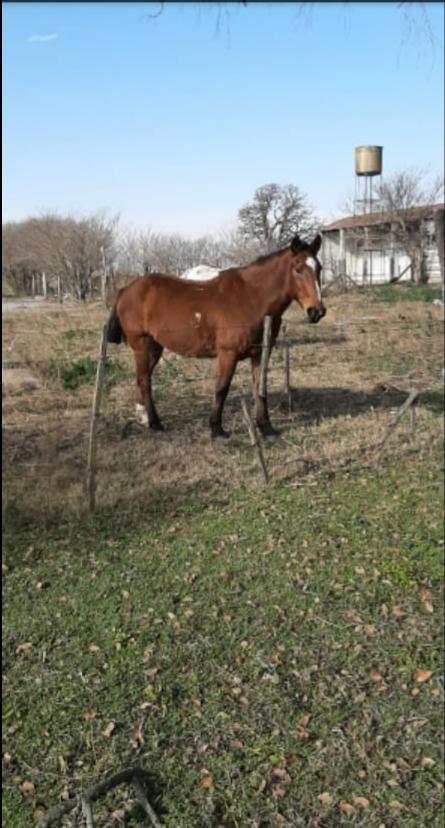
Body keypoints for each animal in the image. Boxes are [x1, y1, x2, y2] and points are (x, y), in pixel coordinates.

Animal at [106, 231, 324, 436]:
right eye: (297, 268)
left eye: (319, 269)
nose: (317, 311)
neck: (251, 297)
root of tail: (127, 290)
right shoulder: (228, 354)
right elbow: (222, 388)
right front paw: (216, 428)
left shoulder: (261, 352)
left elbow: (260, 389)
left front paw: (266, 427)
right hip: (141, 345)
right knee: (145, 381)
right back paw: (155, 423)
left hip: (154, 348)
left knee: (142, 379)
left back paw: (144, 418)